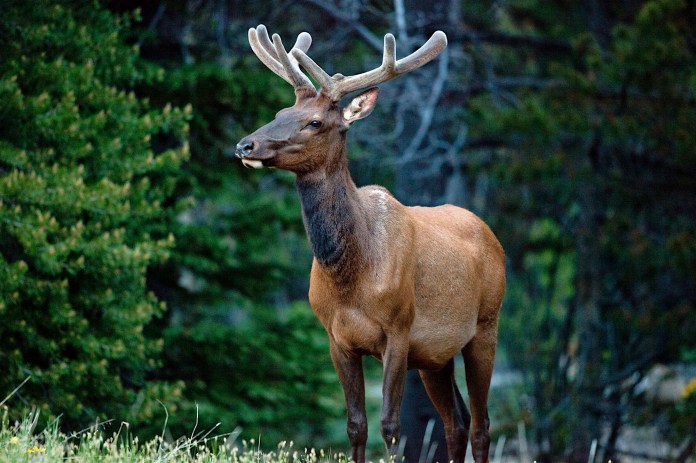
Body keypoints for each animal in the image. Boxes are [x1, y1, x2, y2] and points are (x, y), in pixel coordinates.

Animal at [235, 25, 506, 463]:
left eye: (314, 122)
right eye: (279, 114)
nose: (245, 145)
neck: (351, 277)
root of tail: (492, 235)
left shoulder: (399, 330)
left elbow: (391, 428)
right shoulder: (337, 339)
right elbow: (356, 426)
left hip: (486, 326)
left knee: (482, 426)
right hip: (436, 356)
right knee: (457, 422)